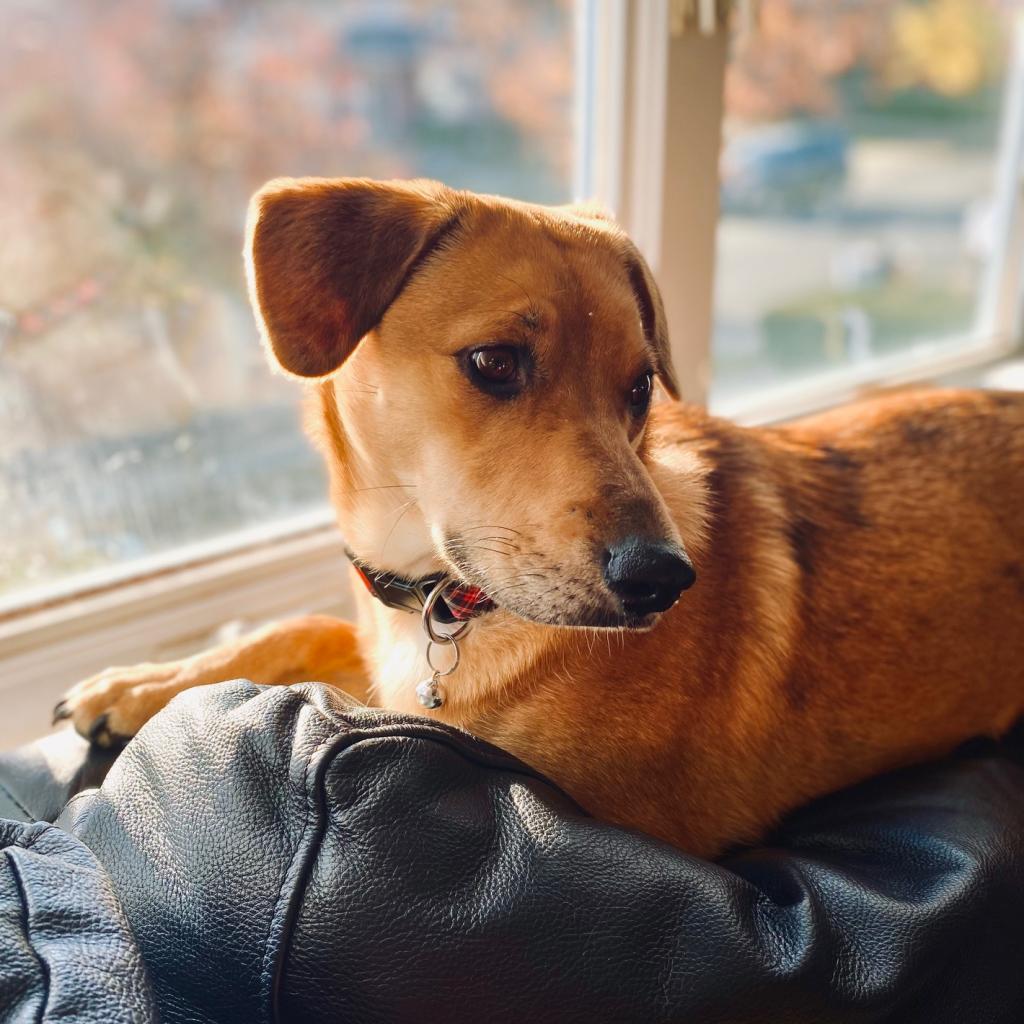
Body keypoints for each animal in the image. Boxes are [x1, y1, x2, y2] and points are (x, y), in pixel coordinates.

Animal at [54, 176, 1024, 856]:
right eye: (494, 362)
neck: (445, 606)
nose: (664, 580)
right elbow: (303, 625)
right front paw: (142, 683)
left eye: (640, 387)